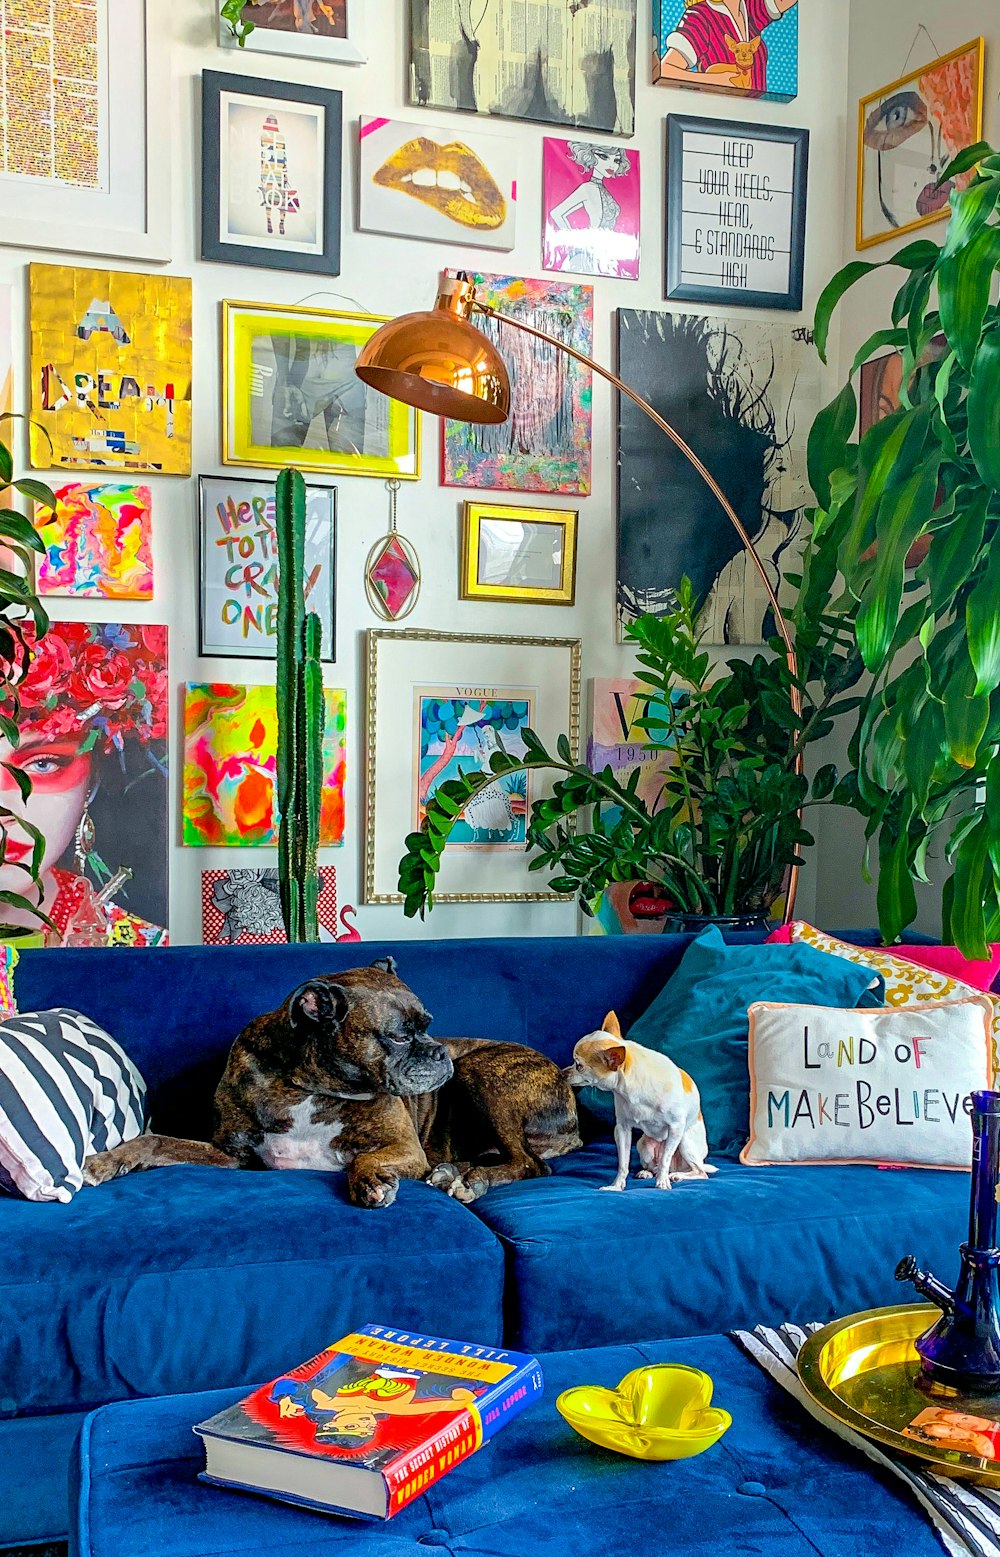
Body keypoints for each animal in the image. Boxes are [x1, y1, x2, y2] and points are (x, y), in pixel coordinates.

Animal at [84, 959, 576, 1202]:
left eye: (429, 1025)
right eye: (400, 1036)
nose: (438, 1051)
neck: (308, 1087)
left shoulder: (403, 1148)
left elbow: (366, 1159)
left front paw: (370, 1181)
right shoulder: (233, 1156)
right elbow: (158, 1142)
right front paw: (109, 1161)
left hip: (482, 1074)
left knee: (530, 1164)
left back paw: (471, 1180)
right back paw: (451, 1172)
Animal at [563, 1008, 713, 1189]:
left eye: (579, 1066)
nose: (562, 1073)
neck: (630, 1089)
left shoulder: (676, 1128)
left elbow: (665, 1159)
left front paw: (662, 1183)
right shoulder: (622, 1129)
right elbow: (623, 1163)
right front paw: (616, 1186)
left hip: (685, 1142)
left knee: (699, 1171)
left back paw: (676, 1175)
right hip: (644, 1145)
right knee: (655, 1165)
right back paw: (647, 1172)